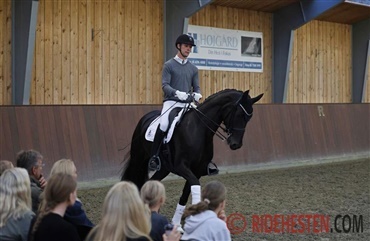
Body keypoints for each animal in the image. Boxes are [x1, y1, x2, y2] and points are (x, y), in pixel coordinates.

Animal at [120, 89, 262, 223]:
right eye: (239, 114)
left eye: (249, 118)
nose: (236, 144)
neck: (198, 129)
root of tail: (145, 117)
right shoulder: (181, 167)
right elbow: (194, 186)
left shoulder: (196, 170)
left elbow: (185, 193)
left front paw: (177, 223)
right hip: (138, 159)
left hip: (164, 168)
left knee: (151, 182)